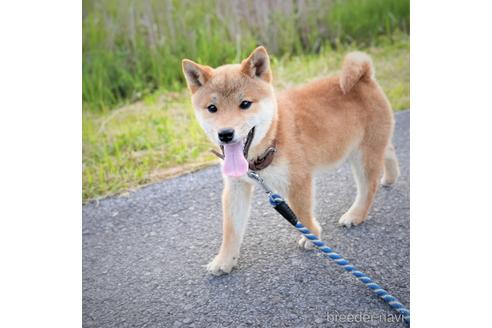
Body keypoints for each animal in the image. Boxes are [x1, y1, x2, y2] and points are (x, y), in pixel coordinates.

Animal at [183, 46, 398, 276]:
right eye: (212, 108)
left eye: (245, 104)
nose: (225, 134)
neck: (273, 134)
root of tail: (365, 78)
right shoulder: (236, 187)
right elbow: (231, 228)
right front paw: (224, 260)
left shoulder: (298, 179)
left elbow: (302, 213)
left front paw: (312, 237)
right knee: (389, 150)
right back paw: (390, 177)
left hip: (363, 155)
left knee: (368, 186)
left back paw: (356, 215)